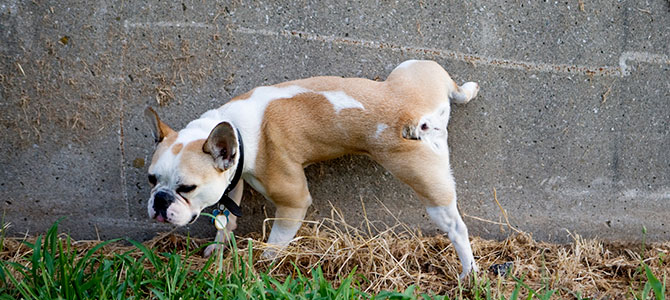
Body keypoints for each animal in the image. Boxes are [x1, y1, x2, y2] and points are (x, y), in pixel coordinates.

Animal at [146, 59, 484, 278]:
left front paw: (262, 265)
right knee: (453, 85)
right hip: (415, 68)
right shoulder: (233, 179)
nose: (159, 200)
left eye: (187, 188)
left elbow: (276, 241)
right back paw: (468, 89)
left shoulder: (292, 201)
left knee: (456, 227)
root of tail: (415, 115)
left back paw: (468, 272)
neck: (236, 131)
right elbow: (226, 218)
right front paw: (218, 248)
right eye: (152, 179)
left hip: (426, 183)